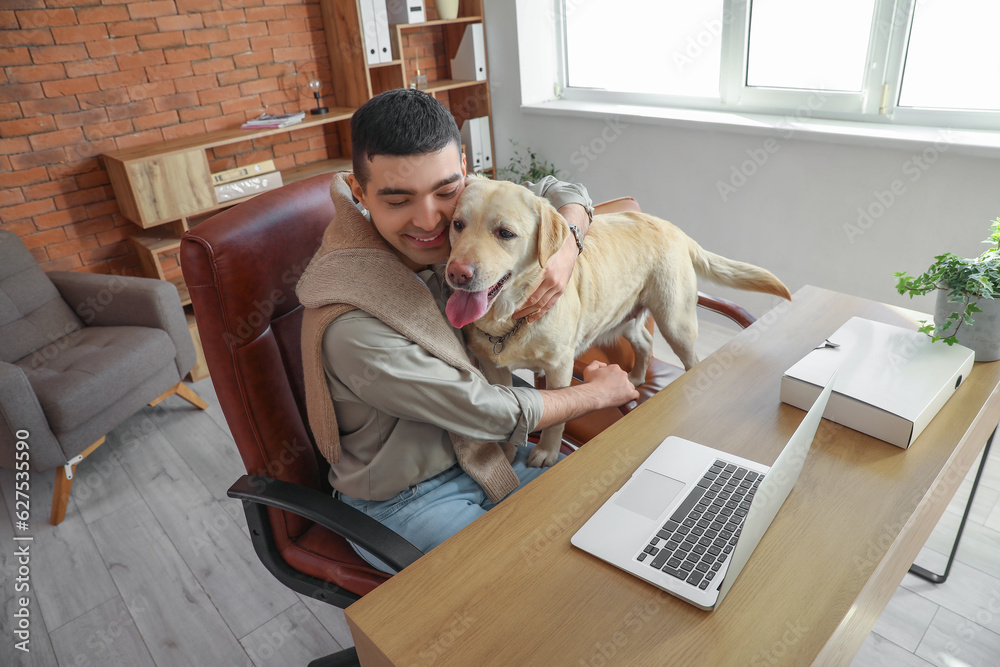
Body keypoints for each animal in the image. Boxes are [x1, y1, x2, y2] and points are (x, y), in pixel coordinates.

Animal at [446, 179, 788, 470]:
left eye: (505, 233)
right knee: (645, 343)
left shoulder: (560, 368)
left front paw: (546, 451)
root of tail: (675, 229)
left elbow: (555, 419)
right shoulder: (493, 369)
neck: (512, 317)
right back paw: (636, 378)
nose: (457, 273)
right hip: (625, 318)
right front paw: (506, 453)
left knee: (691, 359)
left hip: (674, 323)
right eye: (457, 225)